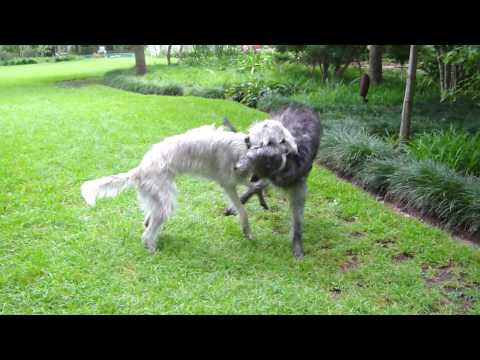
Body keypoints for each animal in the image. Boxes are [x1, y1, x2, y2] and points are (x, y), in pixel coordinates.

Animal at [81, 122, 296, 252]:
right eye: (280, 140)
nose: (293, 152)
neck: (246, 147)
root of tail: (139, 170)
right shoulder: (229, 182)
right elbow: (245, 203)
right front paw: (247, 226)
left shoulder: (240, 180)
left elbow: (253, 192)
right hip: (165, 200)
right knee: (148, 231)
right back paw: (151, 247)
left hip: (157, 197)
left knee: (148, 219)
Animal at [225, 105, 322, 258]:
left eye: (260, 143)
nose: (246, 138)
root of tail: (300, 105)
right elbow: (256, 186)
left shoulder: (298, 185)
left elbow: (297, 217)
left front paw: (297, 243)